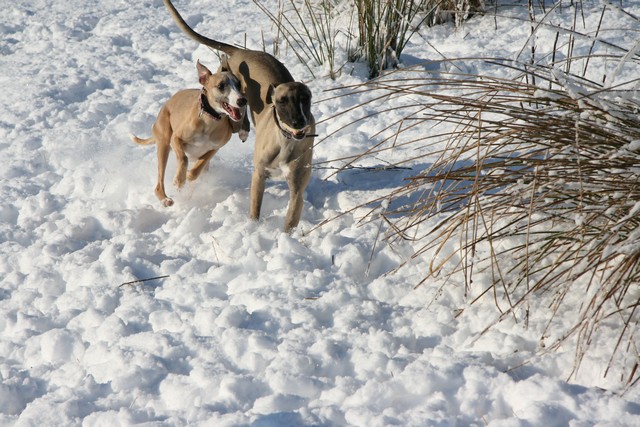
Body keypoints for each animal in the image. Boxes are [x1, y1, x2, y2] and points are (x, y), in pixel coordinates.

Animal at [131, 60, 247, 207]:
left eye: (239, 84)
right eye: (221, 86)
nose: (242, 101)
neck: (210, 121)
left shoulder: (213, 149)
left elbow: (197, 169)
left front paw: (187, 177)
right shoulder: (176, 138)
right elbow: (183, 158)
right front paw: (179, 181)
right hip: (164, 142)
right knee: (159, 182)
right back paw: (165, 198)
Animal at [164, 0, 315, 233]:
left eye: (306, 99)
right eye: (282, 101)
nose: (299, 122)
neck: (286, 141)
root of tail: (243, 51)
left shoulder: (298, 187)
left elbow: (291, 218)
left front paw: (286, 237)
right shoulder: (259, 174)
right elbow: (254, 209)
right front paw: (252, 228)